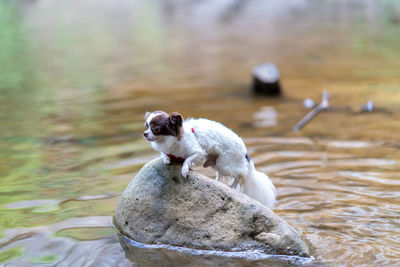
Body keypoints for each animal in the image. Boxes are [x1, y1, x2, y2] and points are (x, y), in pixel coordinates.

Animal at [142, 110, 276, 209]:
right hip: (215, 164)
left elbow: (187, 159)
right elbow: (163, 154)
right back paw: (217, 182)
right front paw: (166, 159)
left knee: (240, 175)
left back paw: (232, 187)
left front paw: (184, 170)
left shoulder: (198, 153)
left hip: (225, 164)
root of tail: (245, 153)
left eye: (156, 129)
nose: (144, 133)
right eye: (146, 126)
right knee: (221, 176)